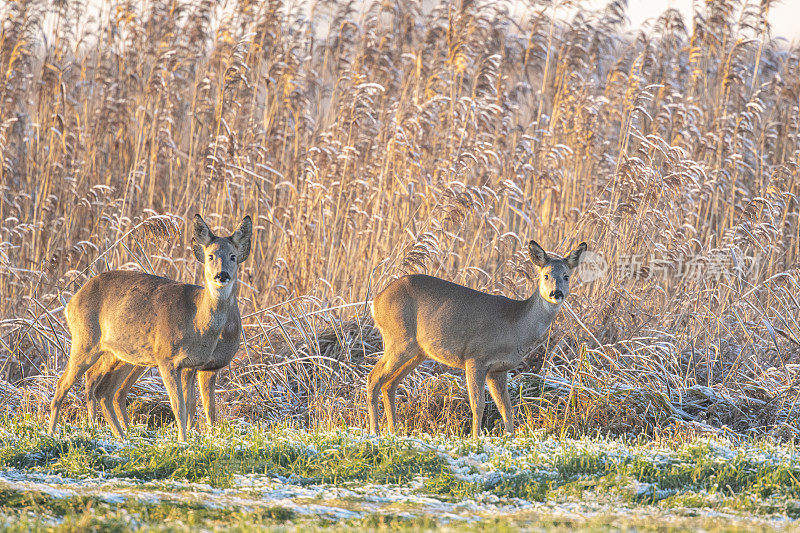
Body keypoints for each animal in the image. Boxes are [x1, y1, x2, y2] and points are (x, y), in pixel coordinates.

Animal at [50, 213, 250, 440]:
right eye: (210, 256)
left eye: (233, 256)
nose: (221, 275)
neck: (196, 320)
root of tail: (72, 300)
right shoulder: (167, 358)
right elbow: (179, 406)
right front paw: (183, 441)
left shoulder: (195, 365)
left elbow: (198, 407)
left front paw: (197, 439)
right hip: (85, 340)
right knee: (64, 384)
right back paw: (51, 433)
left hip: (120, 353)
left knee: (103, 389)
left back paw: (121, 437)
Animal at [368, 240, 588, 436]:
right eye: (546, 275)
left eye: (566, 276)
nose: (556, 293)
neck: (515, 325)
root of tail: (376, 301)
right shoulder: (475, 358)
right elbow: (478, 404)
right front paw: (476, 438)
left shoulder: (499, 369)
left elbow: (506, 408)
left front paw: (510, 439)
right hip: (399, 340)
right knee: (374, 377)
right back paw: (375, 432)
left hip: (418, 351)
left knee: (390, 383)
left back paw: (394, 432)